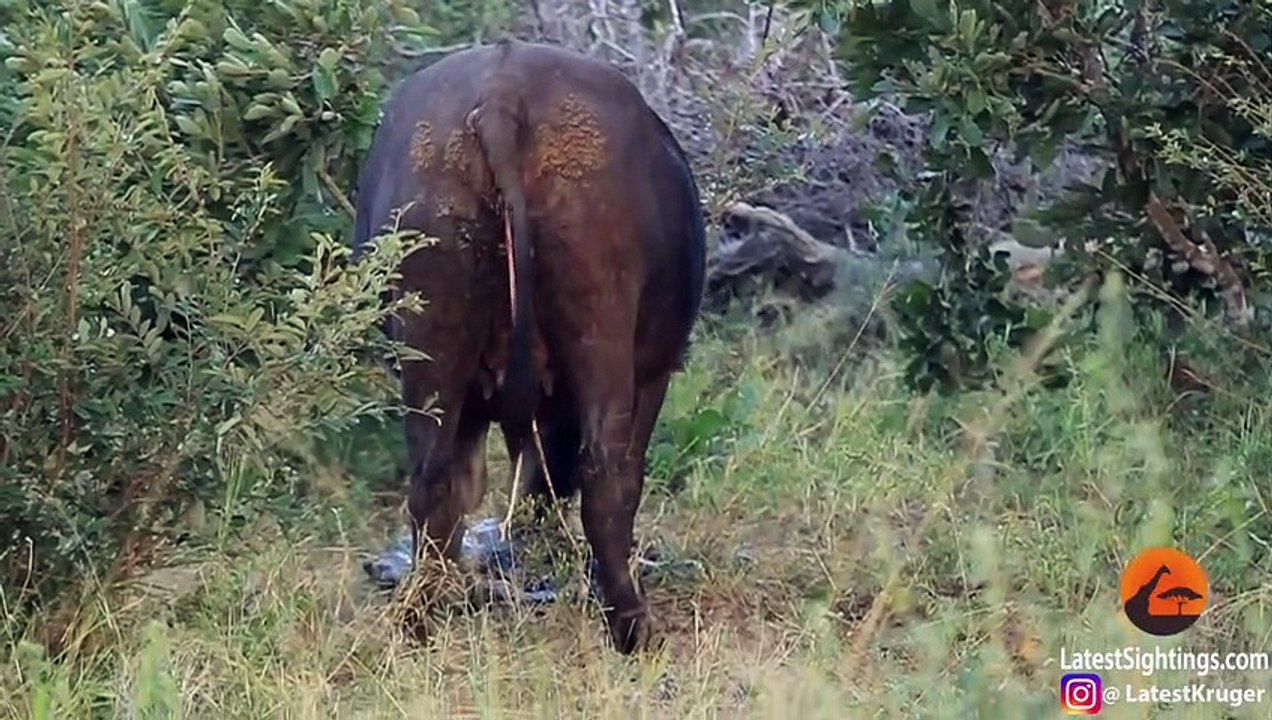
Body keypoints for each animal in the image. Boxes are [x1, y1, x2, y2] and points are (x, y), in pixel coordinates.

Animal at [352, 39, 707, 653]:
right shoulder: (653, 374)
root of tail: (501, 98)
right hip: (603, 333)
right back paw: (631, 624)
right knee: (605, 477)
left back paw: (420, 618)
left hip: (430, 353)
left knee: (432, 481)